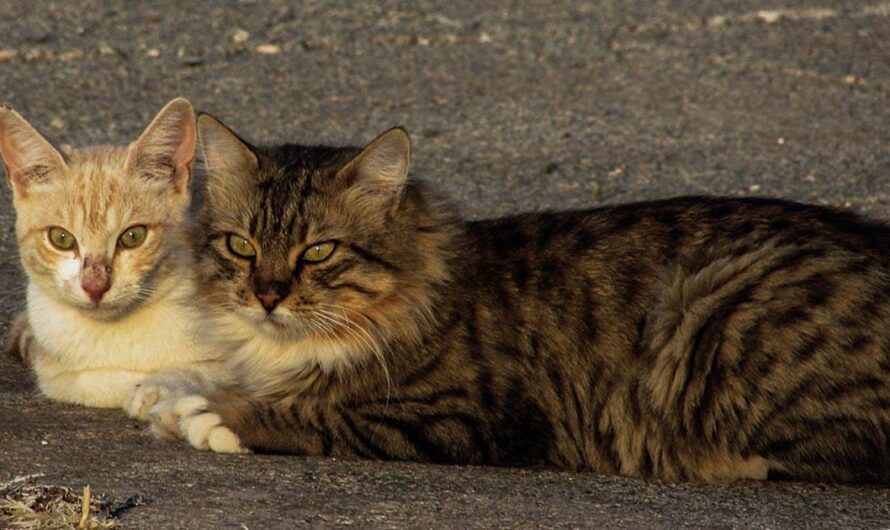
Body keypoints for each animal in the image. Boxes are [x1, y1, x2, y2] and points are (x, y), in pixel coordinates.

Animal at [153, 115, 888, 482]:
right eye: (242, 247)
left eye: (319, 252)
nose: (267, 295)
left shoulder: (463, 415)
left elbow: (314, 415)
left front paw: (210, 414)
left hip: (709, 308)